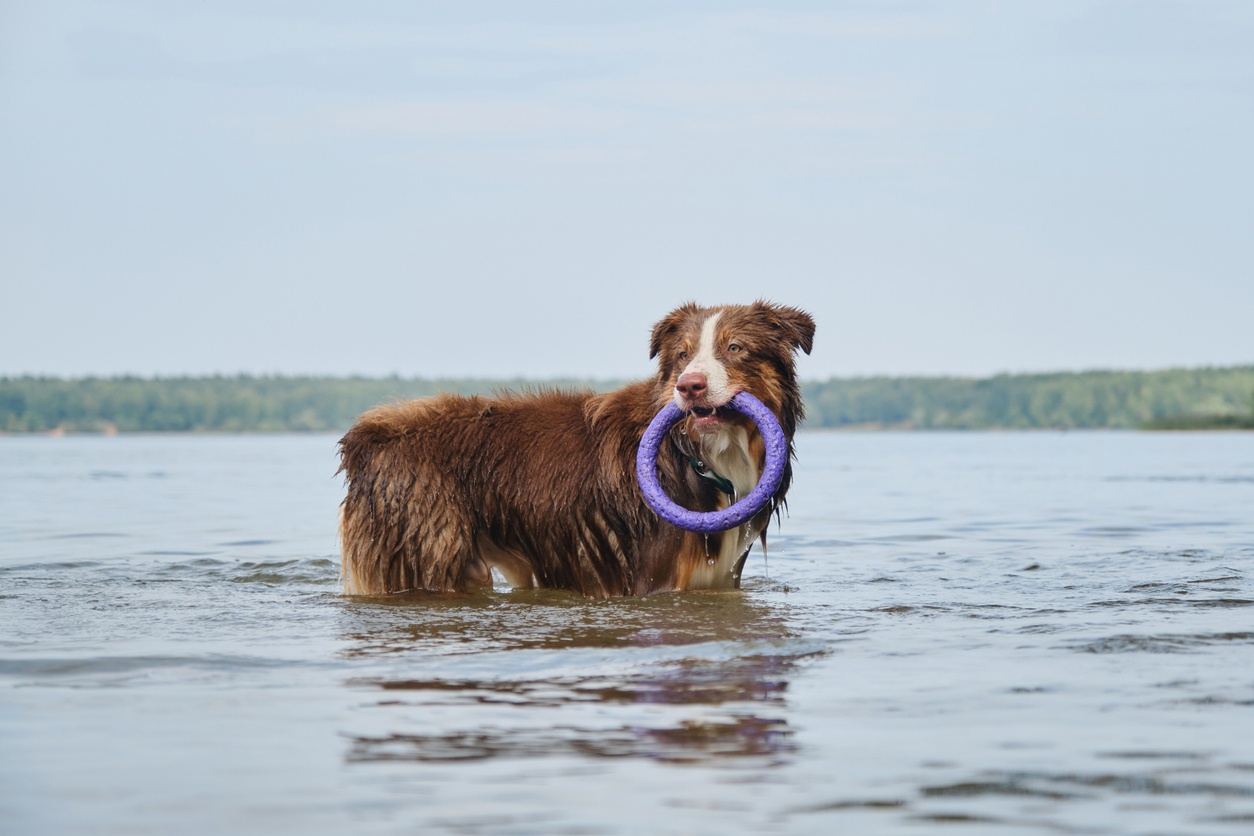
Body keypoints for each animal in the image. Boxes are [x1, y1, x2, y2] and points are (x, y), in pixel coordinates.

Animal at [338, 299, 817, 594]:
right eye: (682, 355)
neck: (697, 455)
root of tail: (368, 435)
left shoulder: (721, 580)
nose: (689, 386)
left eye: (735, 348)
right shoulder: (657, 580)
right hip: (428, 555)